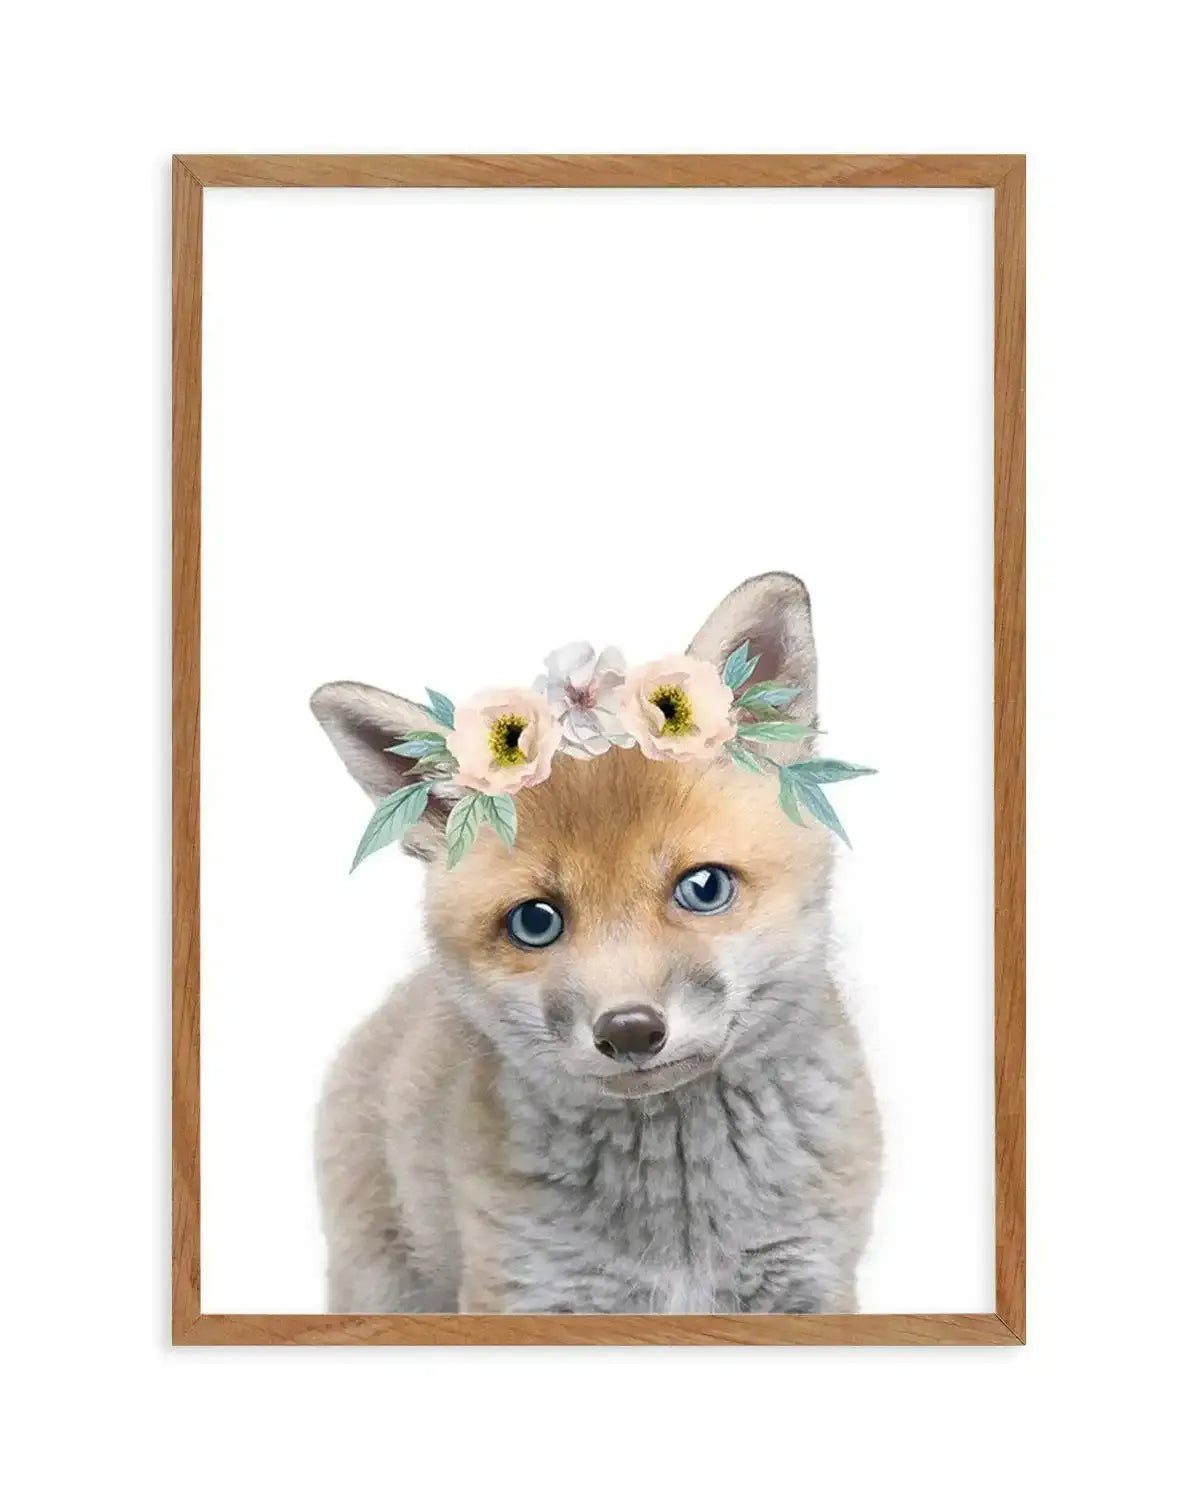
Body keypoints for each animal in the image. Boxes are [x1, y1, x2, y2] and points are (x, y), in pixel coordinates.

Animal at [310, 572, 880, 1314]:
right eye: (535, 922)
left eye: (703, 887)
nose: (630, 1030)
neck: (682, 1228)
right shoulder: (527, 1290)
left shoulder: (809, 1282)